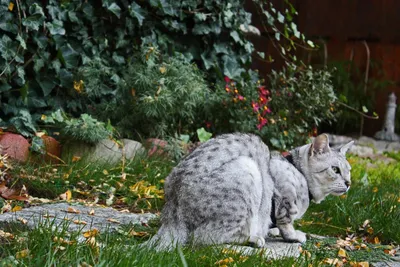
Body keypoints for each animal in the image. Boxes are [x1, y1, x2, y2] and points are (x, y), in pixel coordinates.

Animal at [145, 134, 354, 251]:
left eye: (349, 170)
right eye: (335, 169)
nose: (349, 183)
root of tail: (172, 213)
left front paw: (274, 230)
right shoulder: (284, 194)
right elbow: (286, 222)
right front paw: (293, 235)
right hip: (247, 170)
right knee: (203, 238)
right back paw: (253, 239)